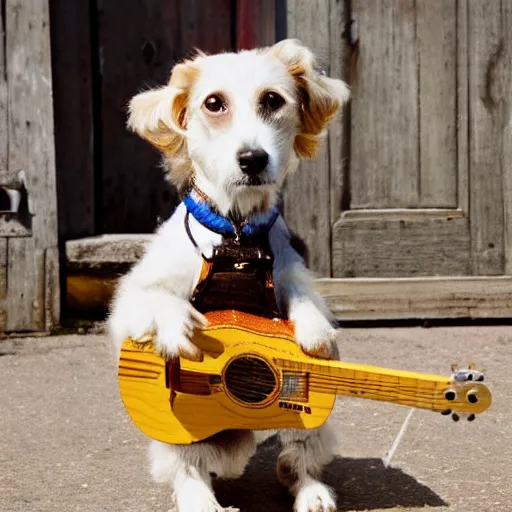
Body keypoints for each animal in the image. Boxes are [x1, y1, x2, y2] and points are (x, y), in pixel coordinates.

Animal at [107, 38, 348, 510]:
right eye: (214, 103)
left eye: (272, 100)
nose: (252, 159)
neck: (236, 234)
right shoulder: (132, 298)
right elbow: (154, 299)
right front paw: (176, 325)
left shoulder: (289, 272)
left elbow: (302, 298)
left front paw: (314, 328)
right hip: (175, 440)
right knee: (187, 468)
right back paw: (202, 500)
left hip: (311, 422)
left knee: (296, 455)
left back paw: (310, 490)